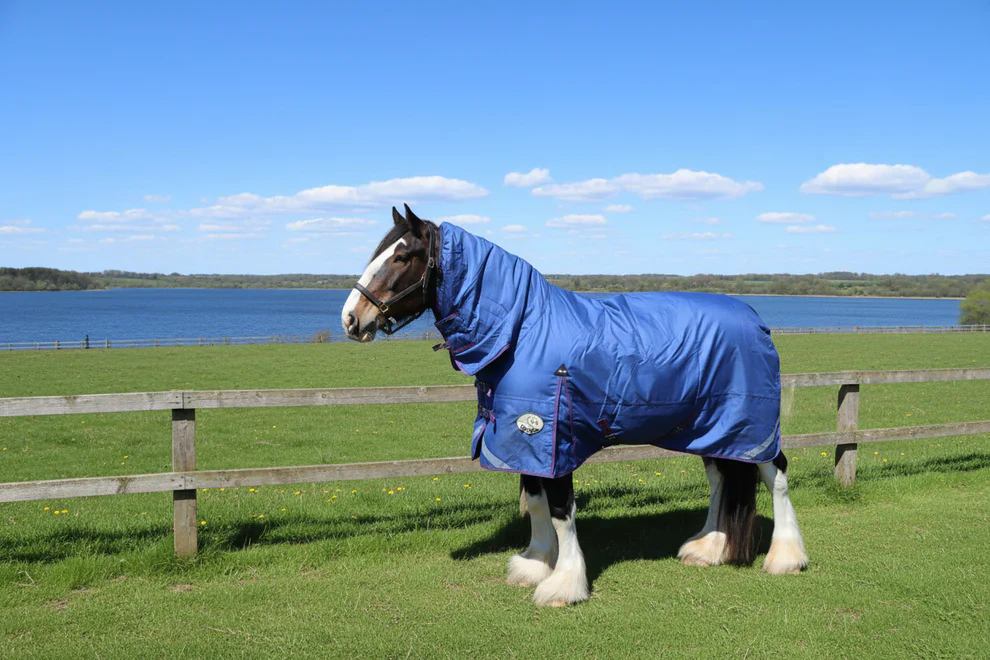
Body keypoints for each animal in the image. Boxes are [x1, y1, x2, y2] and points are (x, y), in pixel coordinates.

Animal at [342, 204, 808, 606]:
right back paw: (708, 548)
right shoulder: (519, 440)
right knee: (720, 480)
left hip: (751, 425)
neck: (523, 331)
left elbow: (562, 511)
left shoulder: (551, 438)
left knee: (776, 475)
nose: (350, 317)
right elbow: (535, 502)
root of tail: (755, 319)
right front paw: (534, 565)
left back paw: (785, 557)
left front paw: (564, 584)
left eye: (403, 256)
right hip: (710, 428)